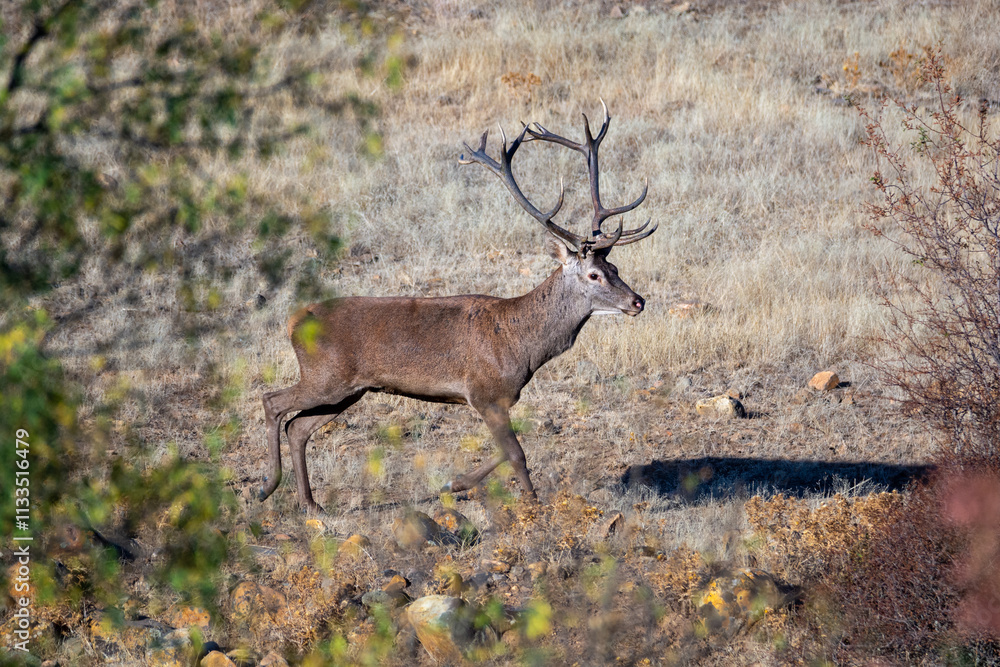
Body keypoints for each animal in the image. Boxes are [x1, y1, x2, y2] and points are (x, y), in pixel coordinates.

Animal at [259, 101, 657, 512]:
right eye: (594, 274)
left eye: (615, 268)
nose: (638, 301)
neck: (522, 347)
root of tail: (292, 320)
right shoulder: (483, 392)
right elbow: (516, 453)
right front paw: (530, 504)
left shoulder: (500, 399)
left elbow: (505, 451)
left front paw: (456, 483)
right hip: (326, 377)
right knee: (273, 402)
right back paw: (267, 486)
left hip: (348, 389)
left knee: (298, 426)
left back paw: (311, 504)